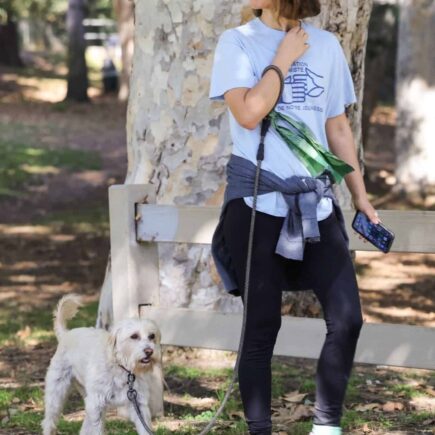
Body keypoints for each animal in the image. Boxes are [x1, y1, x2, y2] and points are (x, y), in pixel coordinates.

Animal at [41, 294, 164, 434]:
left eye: (152, 336)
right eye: (134, 336)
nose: (149, 351)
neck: (121, 369)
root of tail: (65, 334)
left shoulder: (139, 405)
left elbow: (145, 429)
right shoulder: (96, 405)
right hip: (56, 395)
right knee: (49, 421)